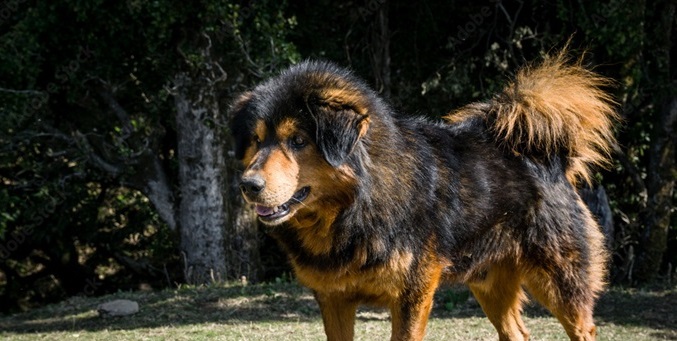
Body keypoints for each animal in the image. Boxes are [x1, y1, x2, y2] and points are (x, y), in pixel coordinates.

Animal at [230, 51, 616, 340]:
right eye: (256, 141)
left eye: (297, 141)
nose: (248, 185)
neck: (355, 206)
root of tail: (547, 155)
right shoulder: (333, 298)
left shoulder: (412, 294)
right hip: (490, 283)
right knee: (518, 334)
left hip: (560, 282)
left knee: (584, 329)